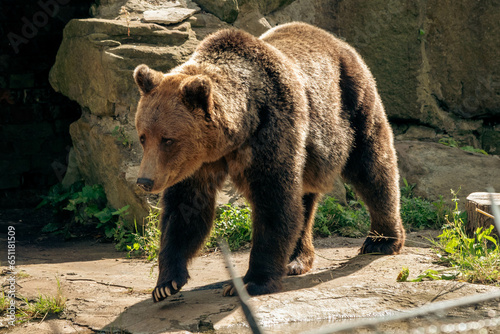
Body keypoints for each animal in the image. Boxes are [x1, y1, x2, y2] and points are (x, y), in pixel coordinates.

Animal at [134, 21, 406, 302]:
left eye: (168, 139)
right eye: (143, 136)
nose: (144, 181)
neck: (236, 133)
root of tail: (336, 40)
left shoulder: (271, 130)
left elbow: (274, 202)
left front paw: (252, 281)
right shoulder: (196, 164)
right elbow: (185, 208)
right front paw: (166, 283)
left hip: (351, 103)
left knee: (372, 166)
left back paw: (382, 240)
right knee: (305, 198)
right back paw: (296, 259)